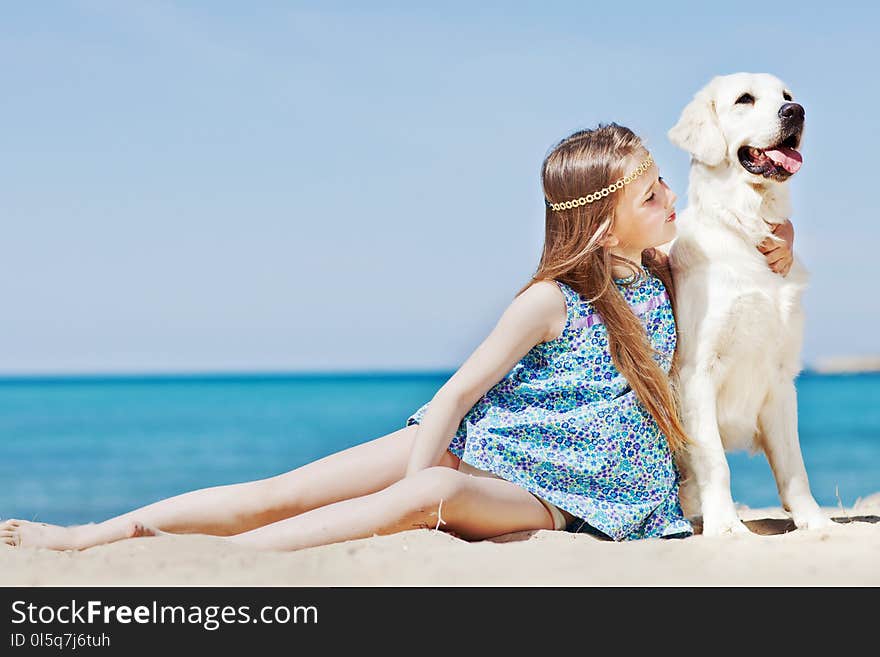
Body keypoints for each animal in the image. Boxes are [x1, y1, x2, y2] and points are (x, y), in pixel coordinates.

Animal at [668, 73, 832, 532]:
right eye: (745, 99)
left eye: (787, 96)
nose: (796, 112)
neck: (747, 228)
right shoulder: (696, 372)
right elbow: (714, 460)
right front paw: (726, 526)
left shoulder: (780, 376)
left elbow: (794, 465)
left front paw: (814, 521)